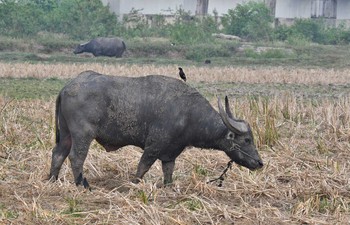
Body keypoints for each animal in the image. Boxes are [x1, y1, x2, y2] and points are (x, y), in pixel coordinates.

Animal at [49, 70, 262, 188]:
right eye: (247, 140)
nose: (260, 163)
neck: (188, 114)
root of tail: (68, 87)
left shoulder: (170, 154)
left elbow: (168, 173)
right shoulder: (153, 146)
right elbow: (142, 167)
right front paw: (134, 184)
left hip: (66, 133)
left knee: (58, 153)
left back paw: (52, 180)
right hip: (83, 134)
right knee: (76, 156)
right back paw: (82, 184)